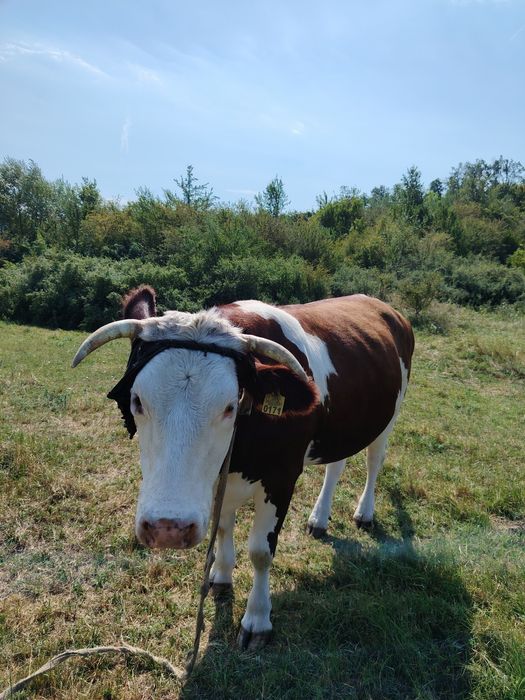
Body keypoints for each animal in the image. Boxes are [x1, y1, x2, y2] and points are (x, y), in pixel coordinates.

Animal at [72, 287, 414, 651]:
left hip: (388, 416)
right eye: (137, 401)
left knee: (374, 459)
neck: (236, 456)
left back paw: (364, 512)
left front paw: (258, 619)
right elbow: (223, 527)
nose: (168, 528)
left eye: (230, 406)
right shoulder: (218, 481)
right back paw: (319, 519)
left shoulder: (281, 477)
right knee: (336, 464)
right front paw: (221, 575)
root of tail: (379, 304)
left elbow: (261, 552)